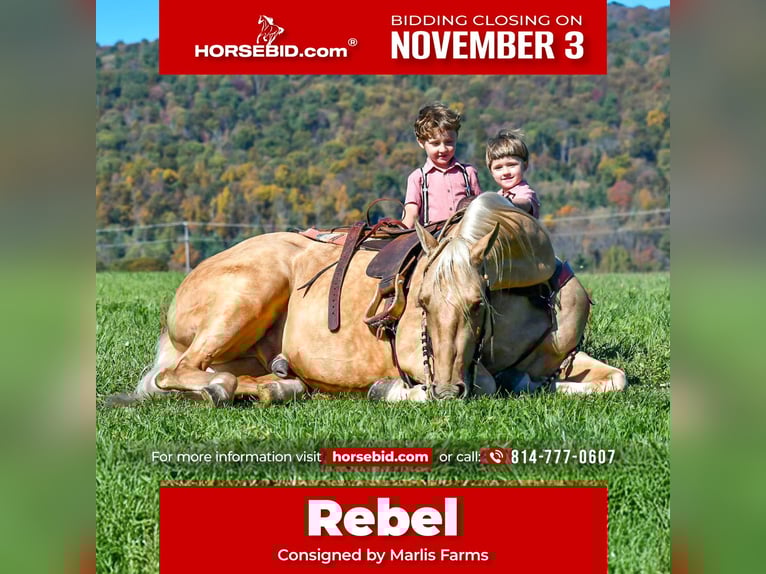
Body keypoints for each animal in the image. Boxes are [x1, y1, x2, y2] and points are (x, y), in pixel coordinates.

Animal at [115, 193, 625, 407]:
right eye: (420, 303)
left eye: (480, 304)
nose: (445, 392)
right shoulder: (419, 359)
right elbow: (485, 383)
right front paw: (391, 390)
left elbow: (614, 380)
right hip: (245, 297)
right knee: (181, 374)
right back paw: (225, 389)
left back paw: (278, 386)